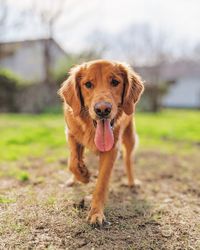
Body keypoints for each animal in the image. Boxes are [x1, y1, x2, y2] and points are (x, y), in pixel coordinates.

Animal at [57, 59, 144, 226]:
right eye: (88, 84)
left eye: (115, 82)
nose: (103, 109)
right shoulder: (71, 133)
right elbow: (72, 161)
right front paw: (83, 175)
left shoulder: (112, 149)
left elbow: (101, 184)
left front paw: (96, 213)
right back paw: (74, 180)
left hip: (130, 137)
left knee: (128, 159)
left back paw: (131, 182)